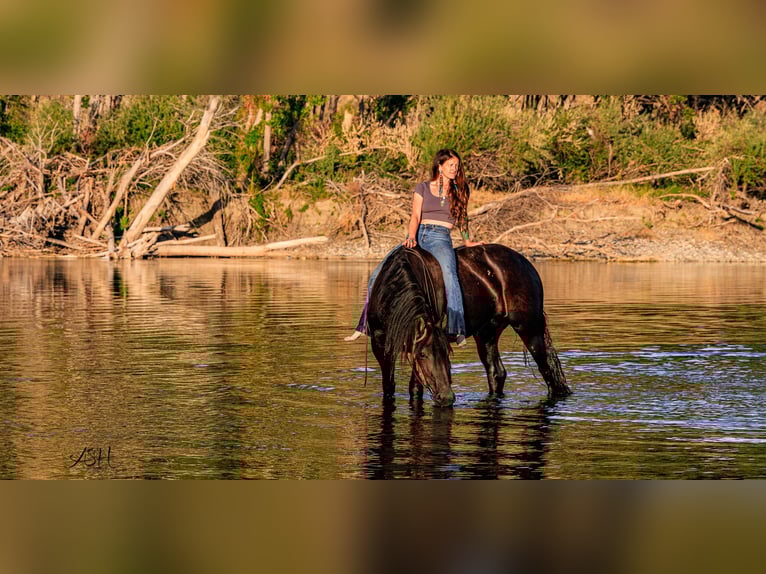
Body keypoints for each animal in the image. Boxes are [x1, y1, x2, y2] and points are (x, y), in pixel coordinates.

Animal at [366, 246, 456, 407]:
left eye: (447, 352)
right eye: (422, 354)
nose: (447, 397)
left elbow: (415, 387)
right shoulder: (380, 346)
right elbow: (388, 385)